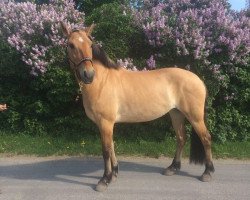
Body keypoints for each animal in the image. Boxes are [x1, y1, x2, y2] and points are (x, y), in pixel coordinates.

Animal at [60, 22, 215, 192]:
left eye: (90, 44)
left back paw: (207, 172)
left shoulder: (105, 122)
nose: (88, 74)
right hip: (176, 114)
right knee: (181, 138)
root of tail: (198, 79)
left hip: (194, 117)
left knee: (206, 138)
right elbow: (112, 146)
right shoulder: (106, 124)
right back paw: (172, 168)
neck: (102, 81)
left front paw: (104, 180)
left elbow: (106, 150)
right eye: (71, 45)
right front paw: (114, 174)